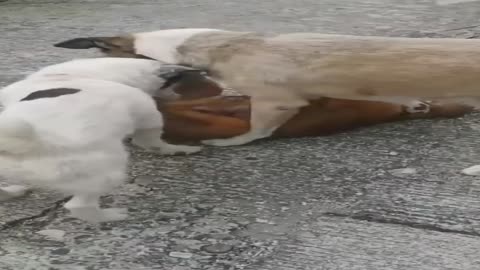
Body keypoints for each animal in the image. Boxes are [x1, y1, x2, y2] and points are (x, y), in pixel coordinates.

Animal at [0, 57, 202, 224]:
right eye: (172, 83)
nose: (179, 95)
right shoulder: (147, 112)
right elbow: (153, 140)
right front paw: (177, 149)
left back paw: (10, 193)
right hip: (107, 171)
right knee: (79, 206)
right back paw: (108, 217)